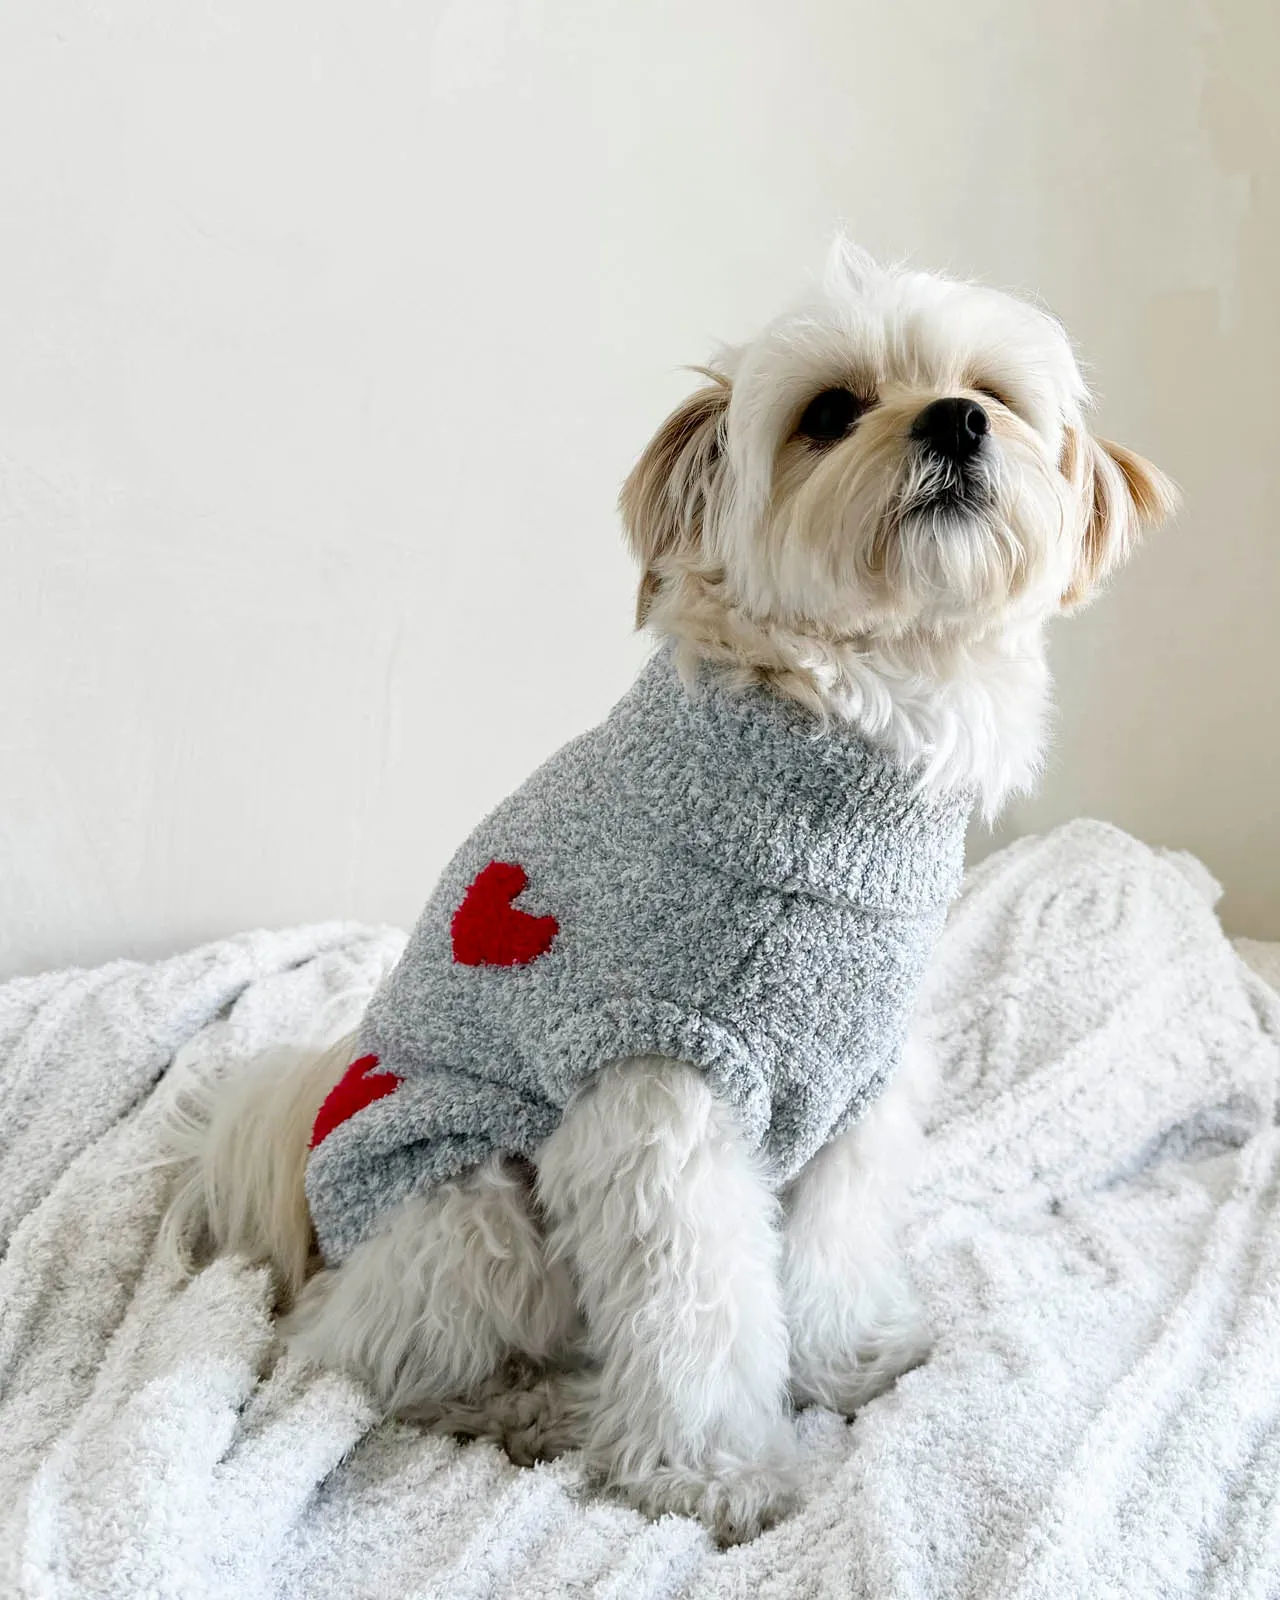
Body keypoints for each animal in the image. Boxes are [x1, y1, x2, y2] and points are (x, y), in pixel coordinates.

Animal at [164, 246, 1177, 1548]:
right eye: (829, 412)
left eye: (990, 395)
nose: (954, 421)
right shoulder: (662, 1091)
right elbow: (696, 1308)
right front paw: (712, 1474)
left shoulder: (856, 1080)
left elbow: (831, 1249)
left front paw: (843, 1362)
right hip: (469, 1200)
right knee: (366, 1358)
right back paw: (537, 1407)